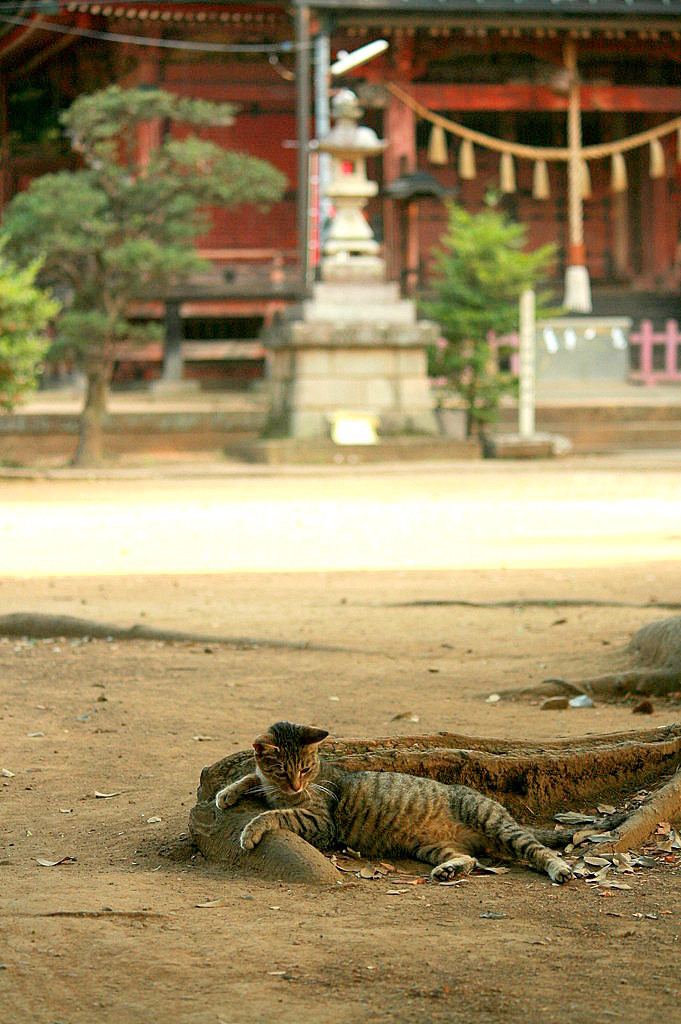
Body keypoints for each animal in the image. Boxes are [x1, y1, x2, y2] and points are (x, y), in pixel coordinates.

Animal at [214, 724, 573, 884]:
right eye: (283, 770)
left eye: (304, 768)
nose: (297, 784)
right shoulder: (271, 786)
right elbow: (252, 779)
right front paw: (226, 792)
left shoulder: (321, 823)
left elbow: (276, 814)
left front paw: (250, 830)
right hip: (430, 847)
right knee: (469, 859)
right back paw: (449, 870)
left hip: (493, 822)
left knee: (541, 850)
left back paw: (561, 869)